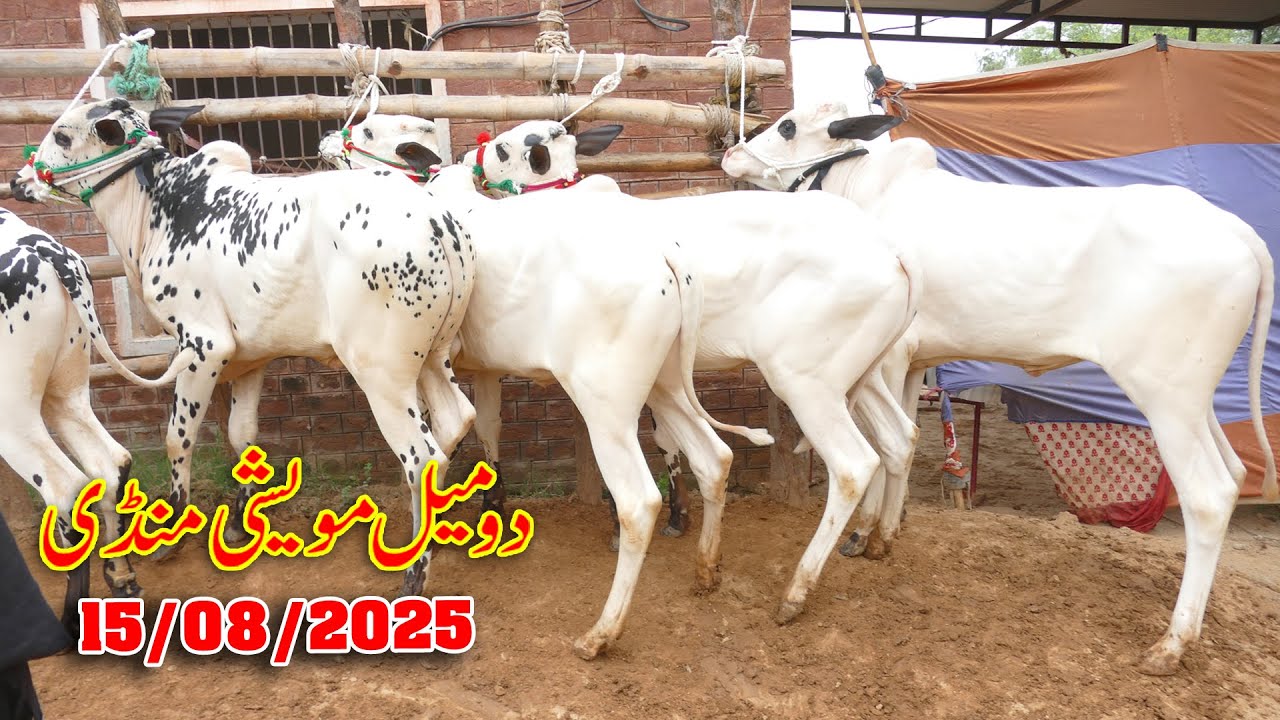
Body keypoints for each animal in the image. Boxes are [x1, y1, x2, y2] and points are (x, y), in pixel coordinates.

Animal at [0, 206, 201, 634]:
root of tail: (40, 246)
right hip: (65, 392)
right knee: (110, 465)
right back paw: (122, 579)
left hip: (13, 415)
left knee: (65, 487)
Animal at [11, 98, 478, 599]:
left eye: (62, 135)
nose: (19, 181)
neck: (163, 208)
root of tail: (435, 220)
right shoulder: (252, 356)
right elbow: (244, 437)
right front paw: (237, 524)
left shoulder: (203, 346)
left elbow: (178, 437)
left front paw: (169, 535)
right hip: (433, 358)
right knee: (455, 421)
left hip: (382, 375)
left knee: (423, 458)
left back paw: (414, 574)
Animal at [325, 118, 924, 633]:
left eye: (503, 146)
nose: (331, 142)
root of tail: (894, 253)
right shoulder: (493, 367)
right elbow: (496, 432)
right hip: (862, 374)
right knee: (899, 437)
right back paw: (874, 538)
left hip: (805, 381)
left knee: (854, 464)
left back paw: (796, 592)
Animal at [720, 101, 1278, 675]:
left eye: (787, 125)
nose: (731, 151)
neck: (867, 192)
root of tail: (1238, 232)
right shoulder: (916, 362)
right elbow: (904, 438)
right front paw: (886, 530)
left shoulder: (892, 357)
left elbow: (881, 444)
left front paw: (866, 532)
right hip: (1194, 399)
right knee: (1234, 474)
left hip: (1165, 399)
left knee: (1208, 495)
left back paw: (1173, 642)